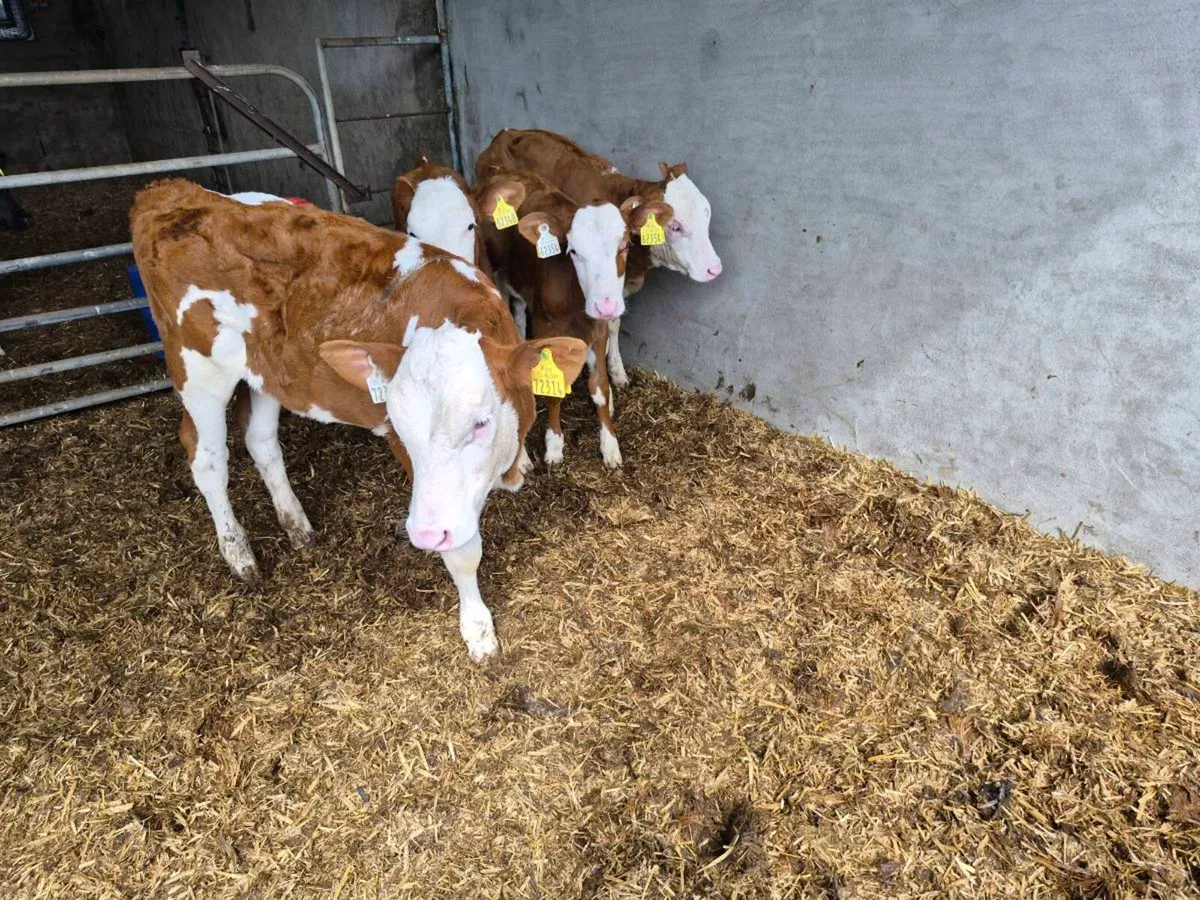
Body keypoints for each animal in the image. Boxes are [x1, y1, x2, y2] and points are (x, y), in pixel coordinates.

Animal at [130, 179, 586, 663]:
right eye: (400, 429)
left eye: (481, 422)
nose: (422, 534)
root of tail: (168, 191)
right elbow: (463, 554)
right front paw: (478, 631)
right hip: (198, 371)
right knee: (208, 459)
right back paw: (238, 553)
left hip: (270, 373)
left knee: (261, 440)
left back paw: (296, 525)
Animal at [475, 168, 671, 469]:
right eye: (574, 251)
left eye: (625, 246)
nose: (606, 304)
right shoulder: (546, 326)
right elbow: (555, 390)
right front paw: (554, 445)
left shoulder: (599, 329)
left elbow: (600, 386)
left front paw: (610, 444)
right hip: (496, 271)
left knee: (518, 309)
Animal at [476, 129, 722, 388]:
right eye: (674, 226)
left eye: (707, 214)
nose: (714, 268)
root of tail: (507, 133)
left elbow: (614, 323)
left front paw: (617, 372)